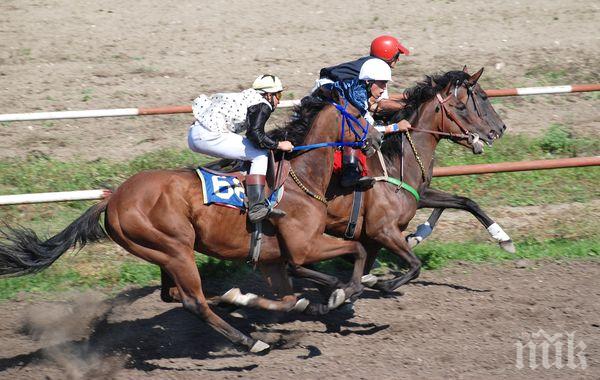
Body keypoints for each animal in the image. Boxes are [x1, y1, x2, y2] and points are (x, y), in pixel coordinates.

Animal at [0, 95, 380, 354]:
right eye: (359, 116)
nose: (376, 139)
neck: (302, 181)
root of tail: (114, 198)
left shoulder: (273, 260)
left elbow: (288, 299)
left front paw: (310, 300)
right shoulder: (304, 246)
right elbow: (357, 250)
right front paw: (349, 290)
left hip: (161, 252)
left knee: (174, 295)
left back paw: (234, 300)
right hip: (175, 248)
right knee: (193, 302)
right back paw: (249, 342)